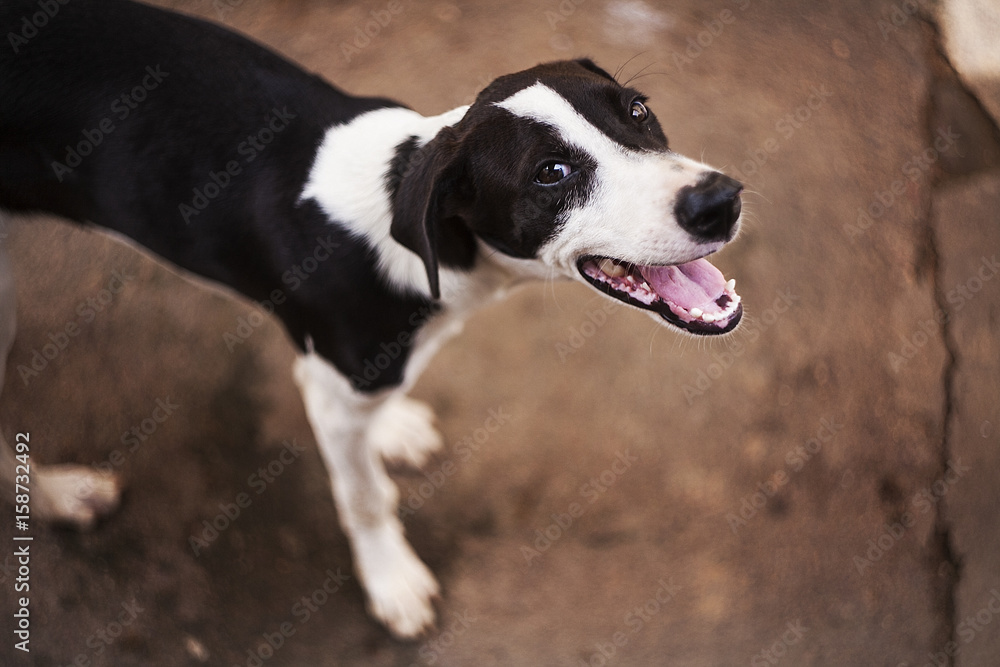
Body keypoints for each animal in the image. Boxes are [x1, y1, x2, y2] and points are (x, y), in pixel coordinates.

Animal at [0, 0, 744, 640]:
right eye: (550, 173)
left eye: (639, 110)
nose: (720, 201)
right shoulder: (329, 382)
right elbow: (363, 496)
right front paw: (392, 579)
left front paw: (390, 427)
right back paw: (57, 493)